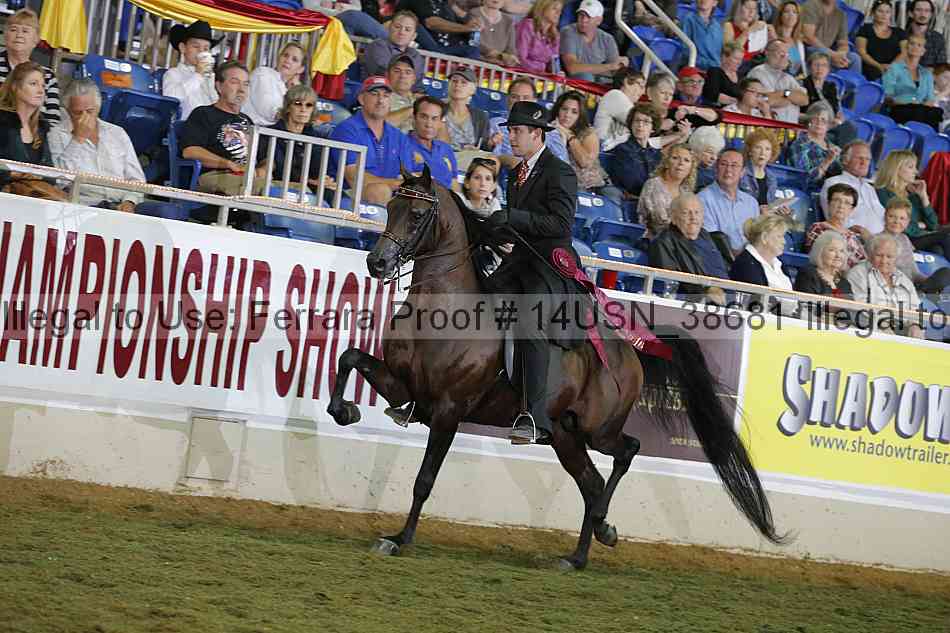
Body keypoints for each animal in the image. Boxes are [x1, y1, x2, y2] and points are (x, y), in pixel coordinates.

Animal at [327, 167, 786, 570]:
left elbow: (424, 479)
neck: (441, 313)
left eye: (418, 215)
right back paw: (578, 555)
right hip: (565, 435)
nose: (376, 263)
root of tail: (630, 350)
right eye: (390, 207)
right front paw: (344, 411)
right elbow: (349, 358)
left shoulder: (447, 411)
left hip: (598, 429)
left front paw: (399, 539)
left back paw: (603, 528)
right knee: (591, 483)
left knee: (626, 452)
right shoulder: (406, 391)